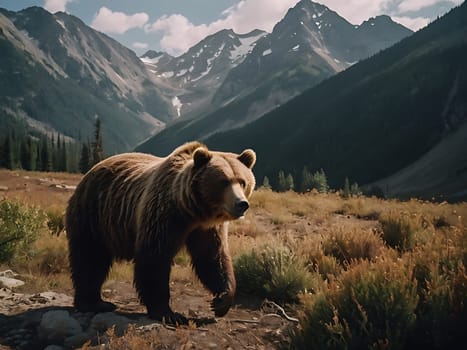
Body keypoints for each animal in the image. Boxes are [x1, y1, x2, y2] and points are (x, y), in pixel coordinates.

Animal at [65, 141, 256, 324]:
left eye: (242, 181)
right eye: (224, 181)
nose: (242, 204)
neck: (193, 212)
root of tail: (93, 169)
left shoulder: (206, 229)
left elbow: (212, 258)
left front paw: (221, 301)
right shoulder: (163, 215)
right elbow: (154, 260)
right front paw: (169, 313)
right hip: (94, 215)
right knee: (90, 258)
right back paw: (93, 303)